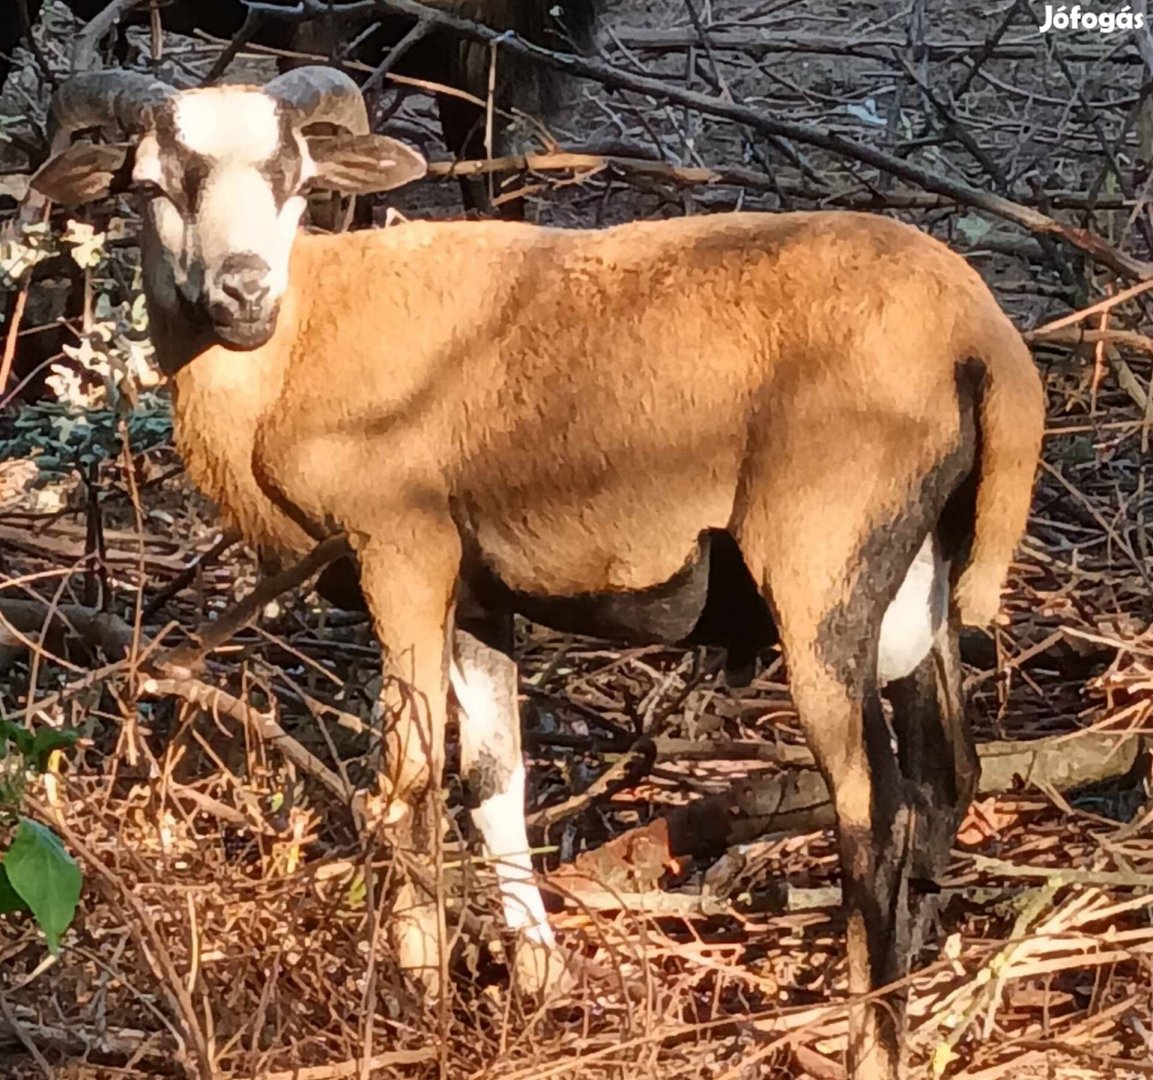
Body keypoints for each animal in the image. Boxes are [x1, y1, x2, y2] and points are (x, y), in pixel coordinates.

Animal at [31, 67, 1051, 1078]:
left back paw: (869, 1040)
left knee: (873, 810)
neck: (298, 348)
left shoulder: (401, 552)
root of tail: (982, 339)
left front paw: (418, 1001)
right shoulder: (480, 592)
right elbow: (491, 776)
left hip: (821, 569)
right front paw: (536, 977)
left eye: (297, 178)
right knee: (945, 776)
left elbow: (405, 777)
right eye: (152, 185)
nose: (242, 293)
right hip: (914, 581)